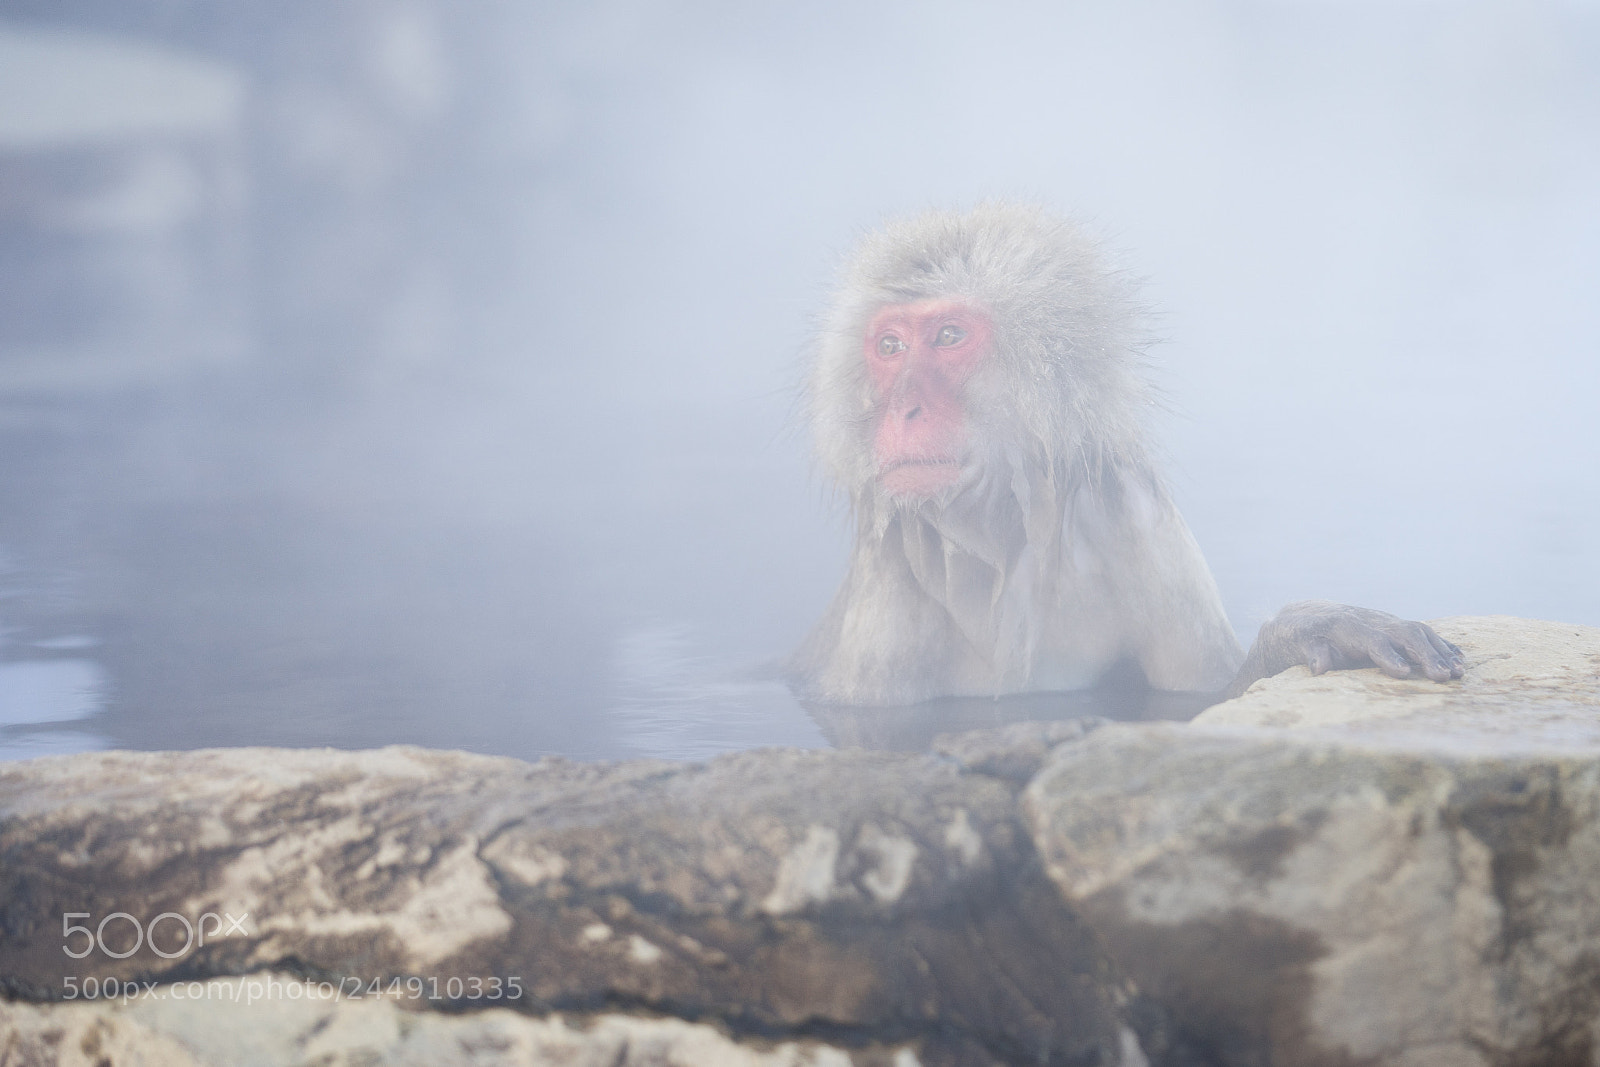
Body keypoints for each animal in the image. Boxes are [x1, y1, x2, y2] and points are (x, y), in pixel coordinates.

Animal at [789, 202, 1464, 707]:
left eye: (949, 336)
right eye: (890, 347)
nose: (902, 410)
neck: (995, 538)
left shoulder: (1133, 510)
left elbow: (1200, 696)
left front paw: (1306, 630)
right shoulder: (886, 590)